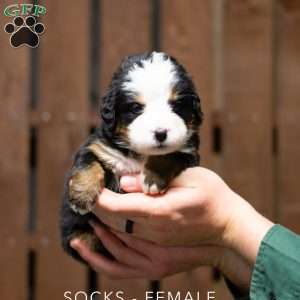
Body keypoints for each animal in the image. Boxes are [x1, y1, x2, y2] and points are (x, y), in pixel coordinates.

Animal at [59, 51, 203, 262]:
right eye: (136, 108)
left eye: (176, 105)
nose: (161, 133)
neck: (139, 154)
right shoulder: (97, 146)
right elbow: (88, 163)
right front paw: (81, 196)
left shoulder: (188, 152)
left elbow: (169, 155)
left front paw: (152, 179)